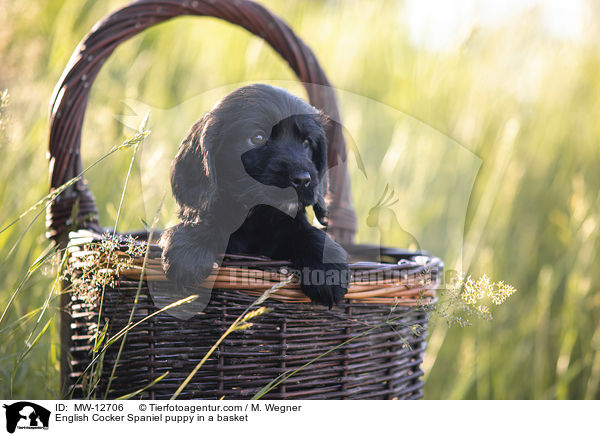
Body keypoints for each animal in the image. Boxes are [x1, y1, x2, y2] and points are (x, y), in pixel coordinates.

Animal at [159, 82, 350, 306]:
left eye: (306, 143)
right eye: (257, 137)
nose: (303, 179)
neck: (258, 219)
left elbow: (309, 232)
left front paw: (327, 270)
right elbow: (208, 221)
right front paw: (190, 249)